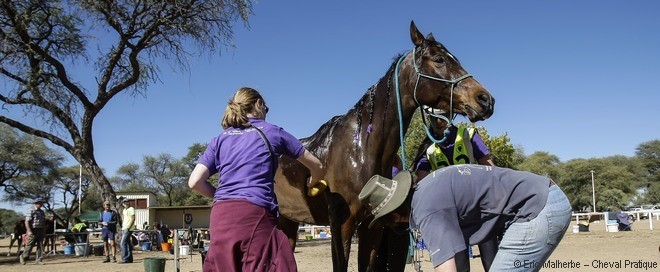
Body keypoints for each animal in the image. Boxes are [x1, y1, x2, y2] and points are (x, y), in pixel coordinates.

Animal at [274, 21, 496, 272]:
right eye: (439, 59)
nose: (485, 99)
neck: (359, 149)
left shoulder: (373, 227)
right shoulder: (342, 226)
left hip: (287, 220)